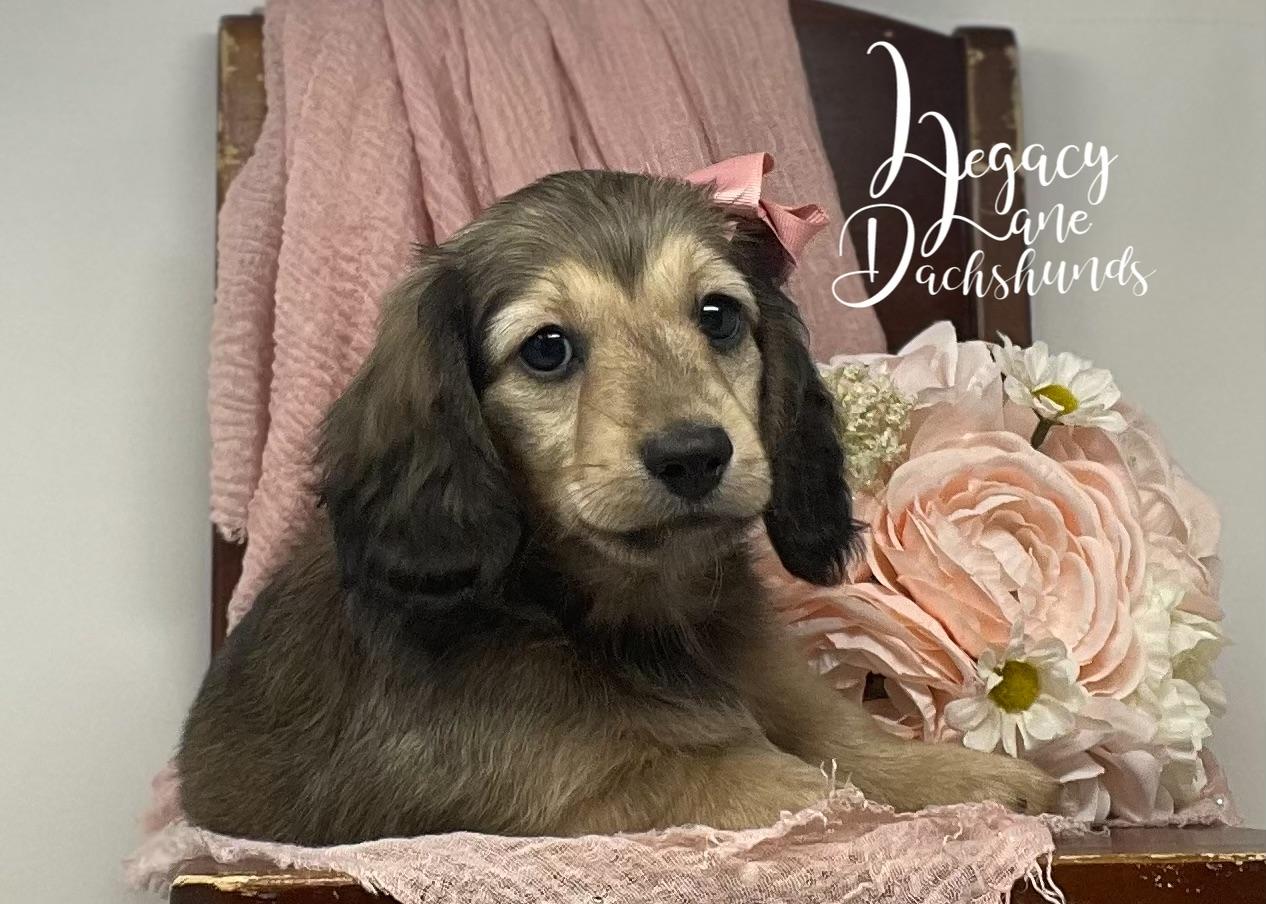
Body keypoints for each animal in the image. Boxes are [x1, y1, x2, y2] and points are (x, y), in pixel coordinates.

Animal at [178, 169, 1058, 844]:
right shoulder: (540, 789)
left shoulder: (773, 678)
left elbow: (845, 735)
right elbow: (718, 773)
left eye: (718, 315)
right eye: (546, 348)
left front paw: (954, 772)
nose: (693, 455)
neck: (635, 619)